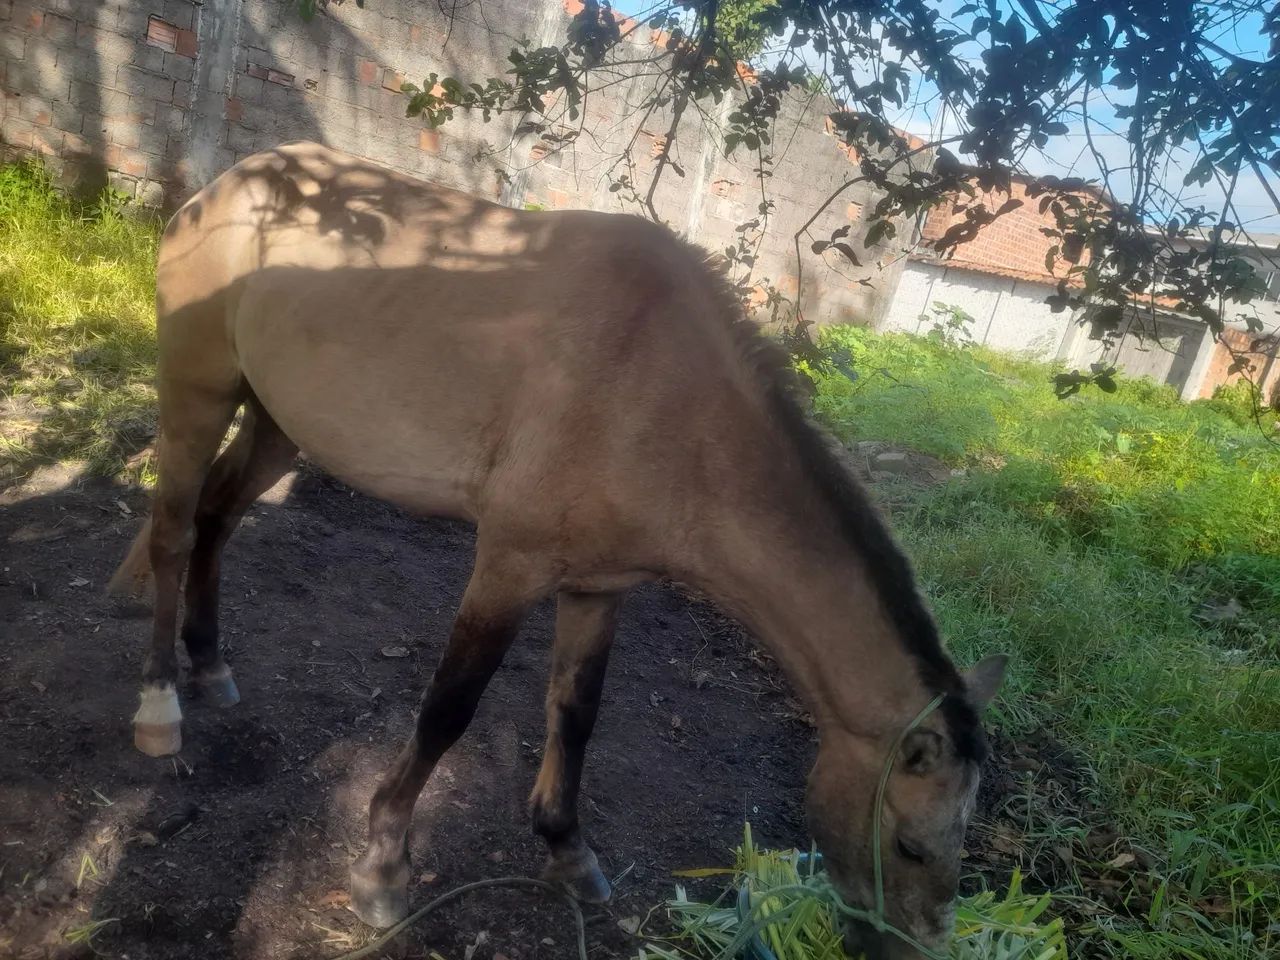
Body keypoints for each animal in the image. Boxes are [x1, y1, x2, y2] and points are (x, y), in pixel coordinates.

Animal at [108, 141, 1006, 960]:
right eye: (910, 845)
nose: (910, 953)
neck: (669, 402)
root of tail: (228, 184)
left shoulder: (597, 587)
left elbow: (576, 716)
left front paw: (568, 852)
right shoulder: (508, 566)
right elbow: (448, 709)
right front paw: (383, 867)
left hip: (277, 421)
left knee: (218, 520)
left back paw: (210, 662)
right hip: (197, 392)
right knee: (175, 530)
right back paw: (159, 705)